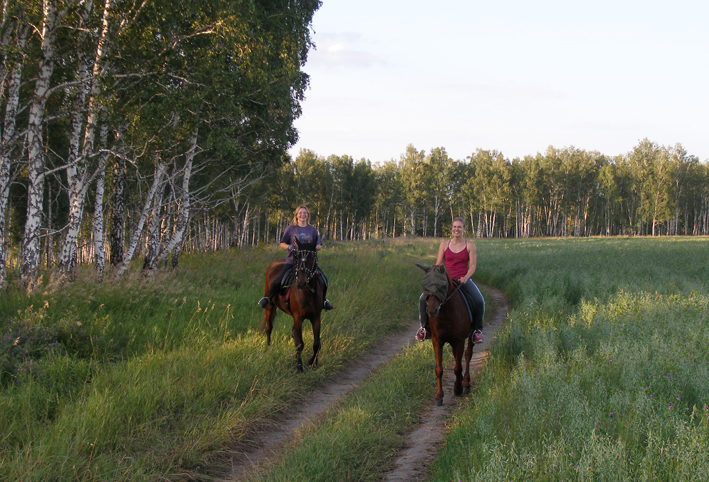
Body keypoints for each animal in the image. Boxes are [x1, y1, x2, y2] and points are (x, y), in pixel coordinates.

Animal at [260, 241, 324, 372]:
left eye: (312, 258)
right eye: (297, 258)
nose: (301, 282)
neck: (307, 293)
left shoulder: (316, 317)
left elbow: (316, 343)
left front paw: (313, 363)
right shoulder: (298, 317)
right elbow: (299, 343)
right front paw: (299, 367)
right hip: (270, 306)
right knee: (269, 328)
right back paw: (268, 348)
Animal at [414, 262, 476, 404]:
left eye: (441, 286)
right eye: (425, 285)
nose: (432, 311)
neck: (446, 312)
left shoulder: (459, 340)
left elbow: (458, 367)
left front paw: (458, 389)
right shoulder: (437, 340)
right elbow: (439, 369)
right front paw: (439, 396)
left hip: (470, 336)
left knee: (468, 355)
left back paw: (465, 383)